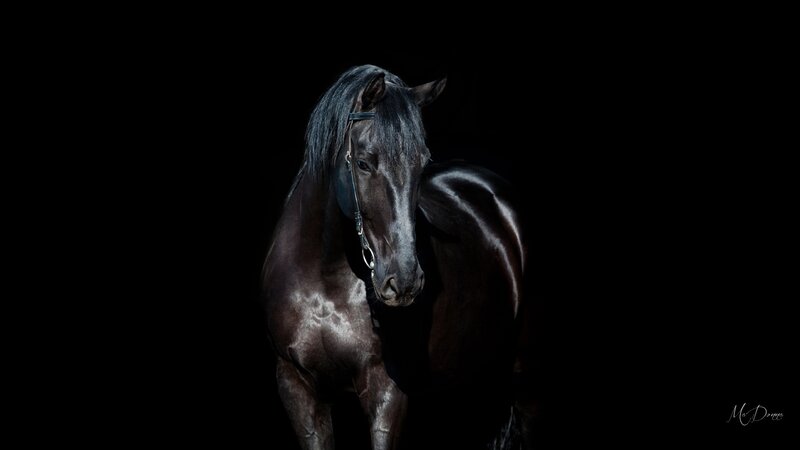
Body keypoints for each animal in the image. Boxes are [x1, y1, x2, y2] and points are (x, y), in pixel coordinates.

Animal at [262, 65, 530, 450]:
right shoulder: (297, 386)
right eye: (362, 163)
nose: (403, 281)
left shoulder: (387, 389)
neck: (325, 281)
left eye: (422, 162)